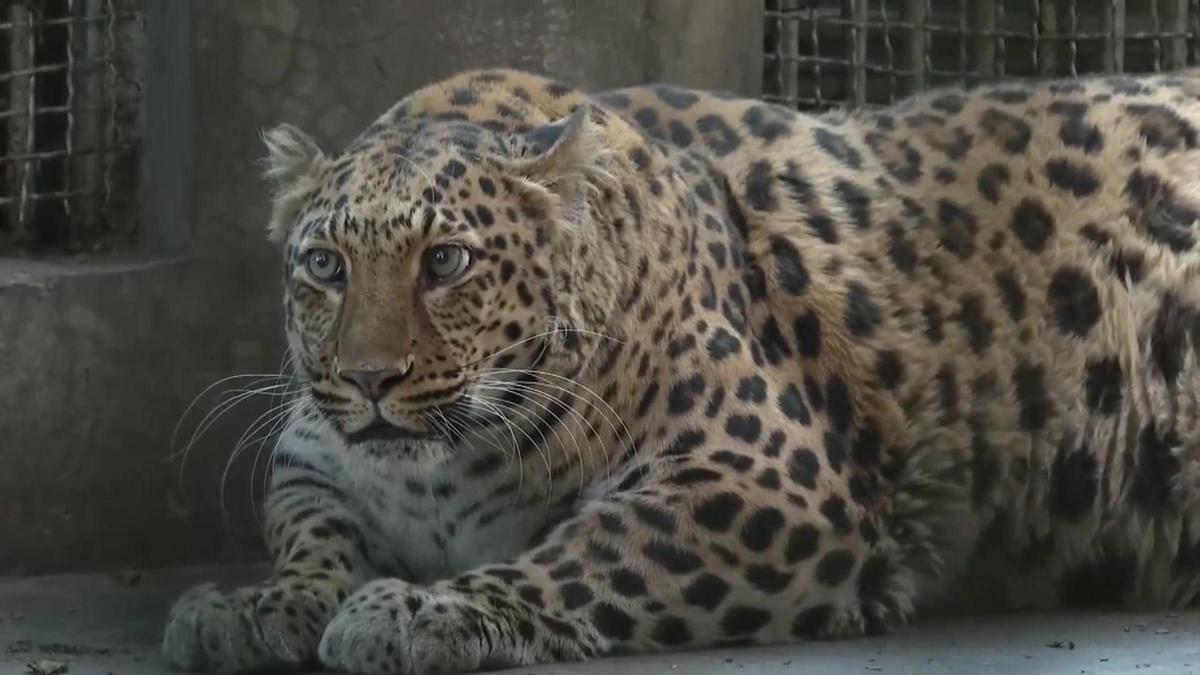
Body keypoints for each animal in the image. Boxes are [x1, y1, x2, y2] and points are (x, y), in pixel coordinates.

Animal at [164, 66, 1200, 672]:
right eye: (325, 265)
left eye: (447, 261)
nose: (372, 378)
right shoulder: (312, 464)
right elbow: (314, 533)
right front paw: (255, 606)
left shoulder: (766, 479)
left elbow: (588, 553)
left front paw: (420, 611)